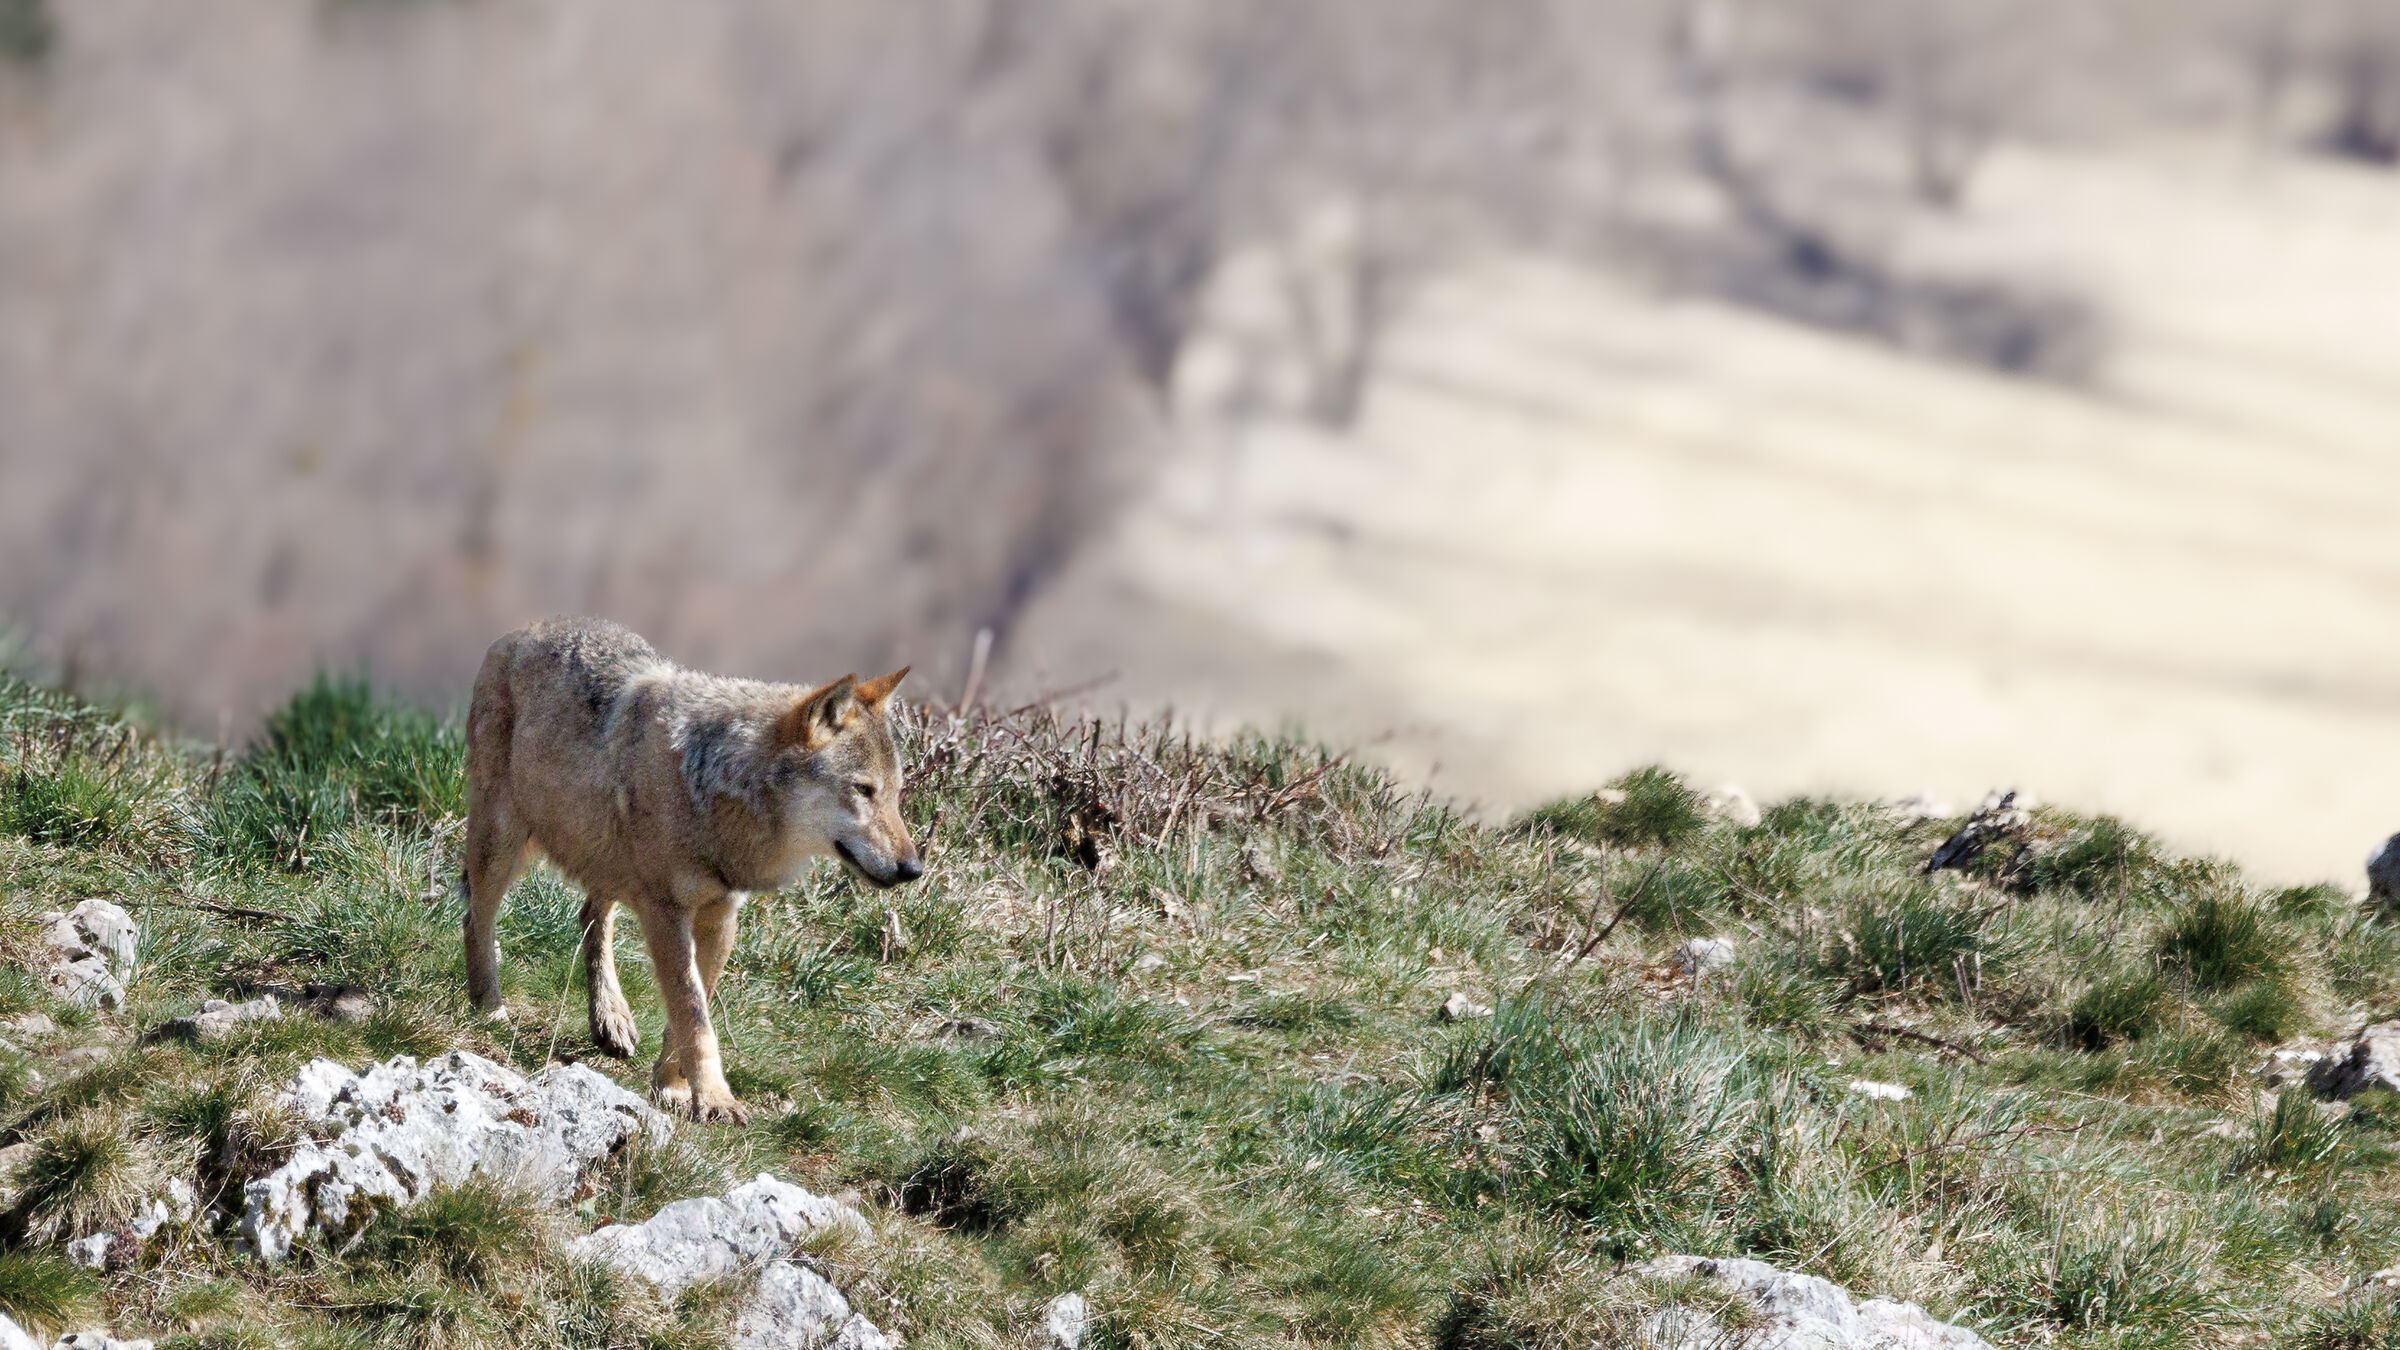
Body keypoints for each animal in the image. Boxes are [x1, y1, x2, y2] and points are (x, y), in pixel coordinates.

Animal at [461, 617, 922, 1122]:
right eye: (863, 790)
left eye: (896, 792)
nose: (913, 868)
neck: (720, 789)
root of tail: (521, 629)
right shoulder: (667, 913)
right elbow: (693, 1013)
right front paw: (715, 1097)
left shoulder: (720, 915)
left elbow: (688, 1013)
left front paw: (674, 1089)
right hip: (502, 843)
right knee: (476, 919)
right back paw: (489, 1008)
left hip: (605, 859)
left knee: (590, 918)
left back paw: (610, 1018)